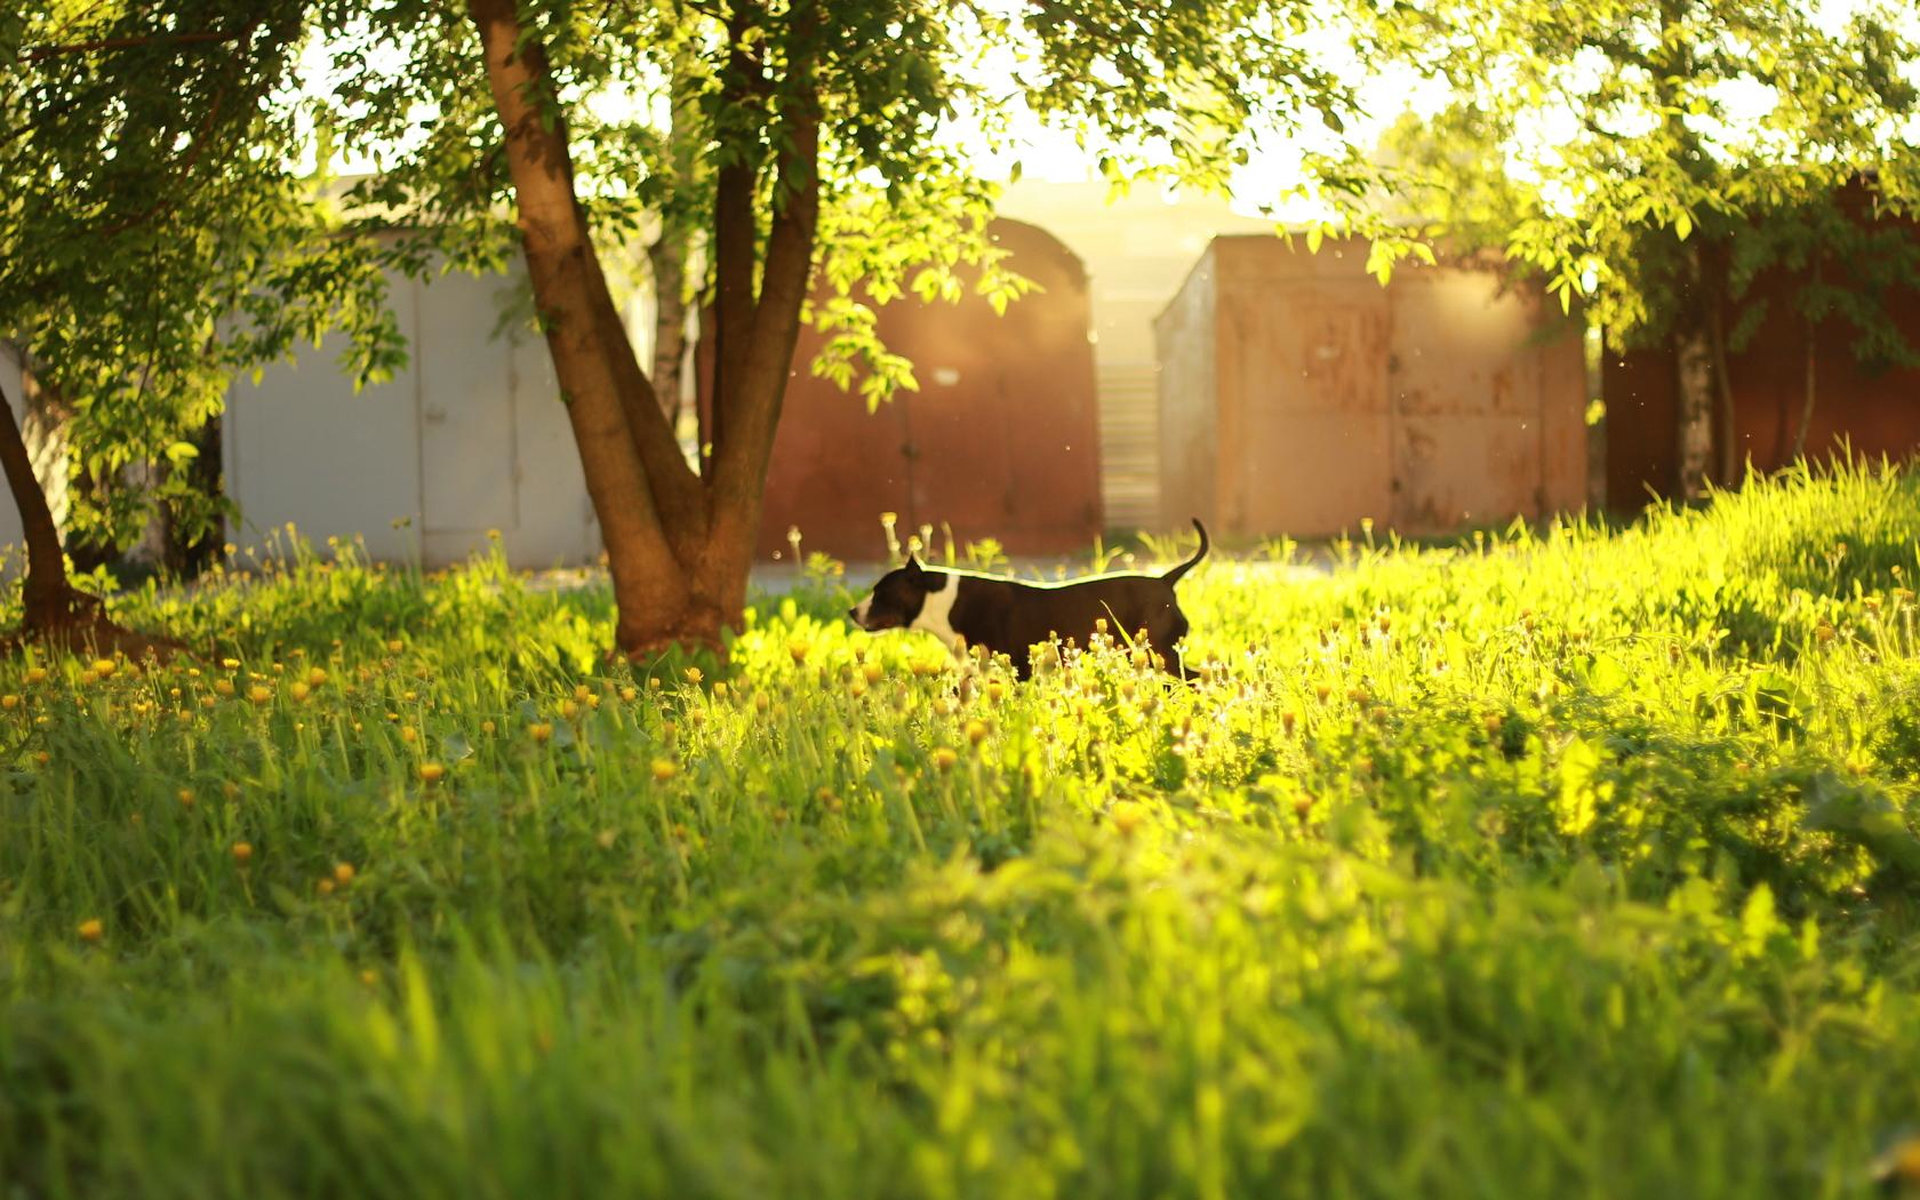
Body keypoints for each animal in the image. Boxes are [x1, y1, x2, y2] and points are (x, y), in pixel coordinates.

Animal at [848, 518, 1205, 679]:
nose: (852, 611)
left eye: (880, 593)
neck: (944, 601)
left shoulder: (1018, 669)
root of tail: (1164, 579)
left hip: (1162, 656)